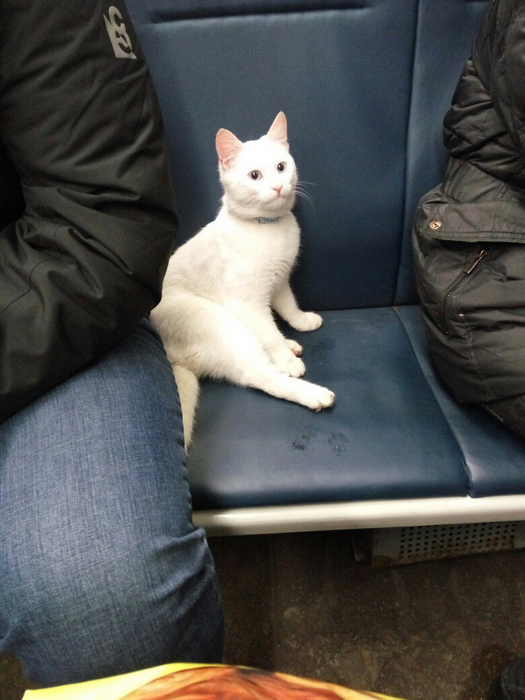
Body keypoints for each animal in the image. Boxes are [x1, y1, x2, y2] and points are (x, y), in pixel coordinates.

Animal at [149, 112, 334, 446]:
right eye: (255, 176)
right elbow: (270, 335)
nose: (277, 186)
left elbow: (287, 307)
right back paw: (312, 391)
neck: (269, 227)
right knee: (260, 373)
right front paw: (286, 360)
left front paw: (301, 322)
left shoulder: (279, 280)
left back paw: (291, 344)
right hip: (223, 323)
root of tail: (174, 358)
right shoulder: (246, 301)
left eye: (281, 167)